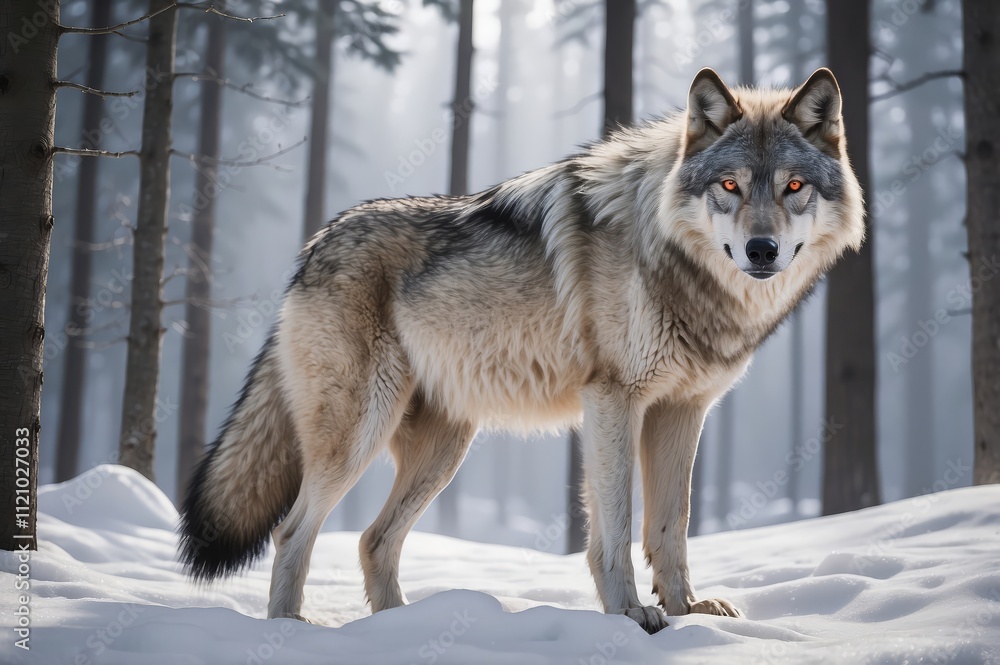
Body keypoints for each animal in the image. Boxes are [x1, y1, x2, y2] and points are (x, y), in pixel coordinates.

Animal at [179, 67, 863, 634]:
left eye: (793, 186)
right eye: (730, 185)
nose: (761, 250)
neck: (666, 256)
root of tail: (313, 245)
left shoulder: (682, 411)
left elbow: (672, 526)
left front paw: (688, 611)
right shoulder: (613, 401)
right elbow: (616, 526)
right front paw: (630, 616)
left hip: (445, 450)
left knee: (373, 540)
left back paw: (397, 632)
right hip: (360, 434)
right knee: (294, 532)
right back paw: (290, 633)